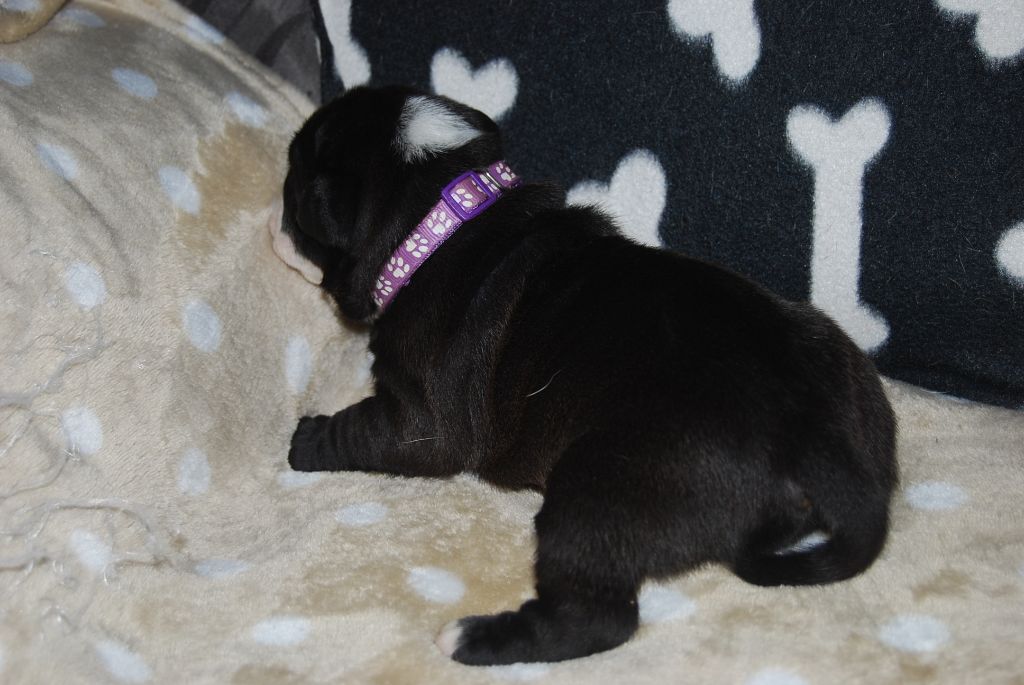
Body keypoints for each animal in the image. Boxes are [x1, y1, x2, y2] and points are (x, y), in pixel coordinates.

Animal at [271, 85, 898, 665]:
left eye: (293, 186)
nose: (274, 224)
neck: (441, 222)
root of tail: (815, 435)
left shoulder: (422, 420)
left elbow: (367, 431)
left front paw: (306, 438)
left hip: (601, 487)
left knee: (596, 618)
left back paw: (472, 637)